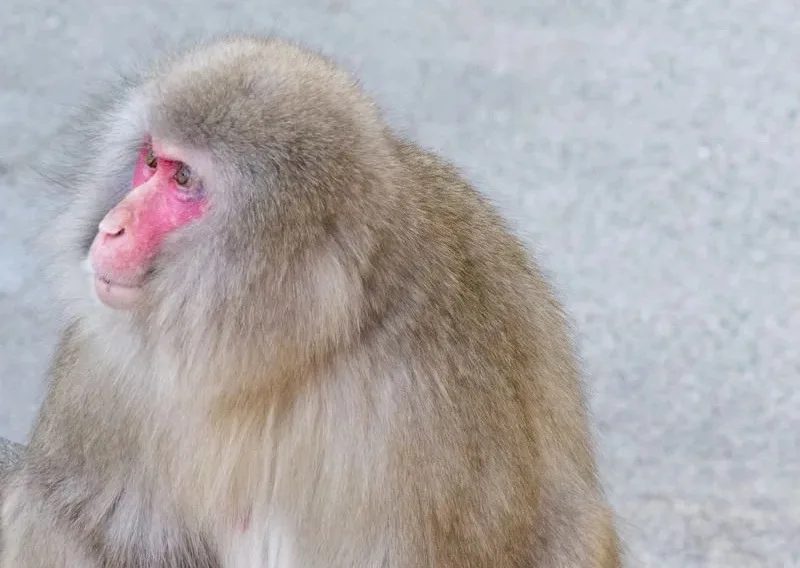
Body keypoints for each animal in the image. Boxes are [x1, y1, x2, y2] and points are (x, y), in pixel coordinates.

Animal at [0, 35, 622, 567]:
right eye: (151, 163)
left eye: (184, 182)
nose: (112, 227)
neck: (280, 358)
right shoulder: (104, 364)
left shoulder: (425, 403)